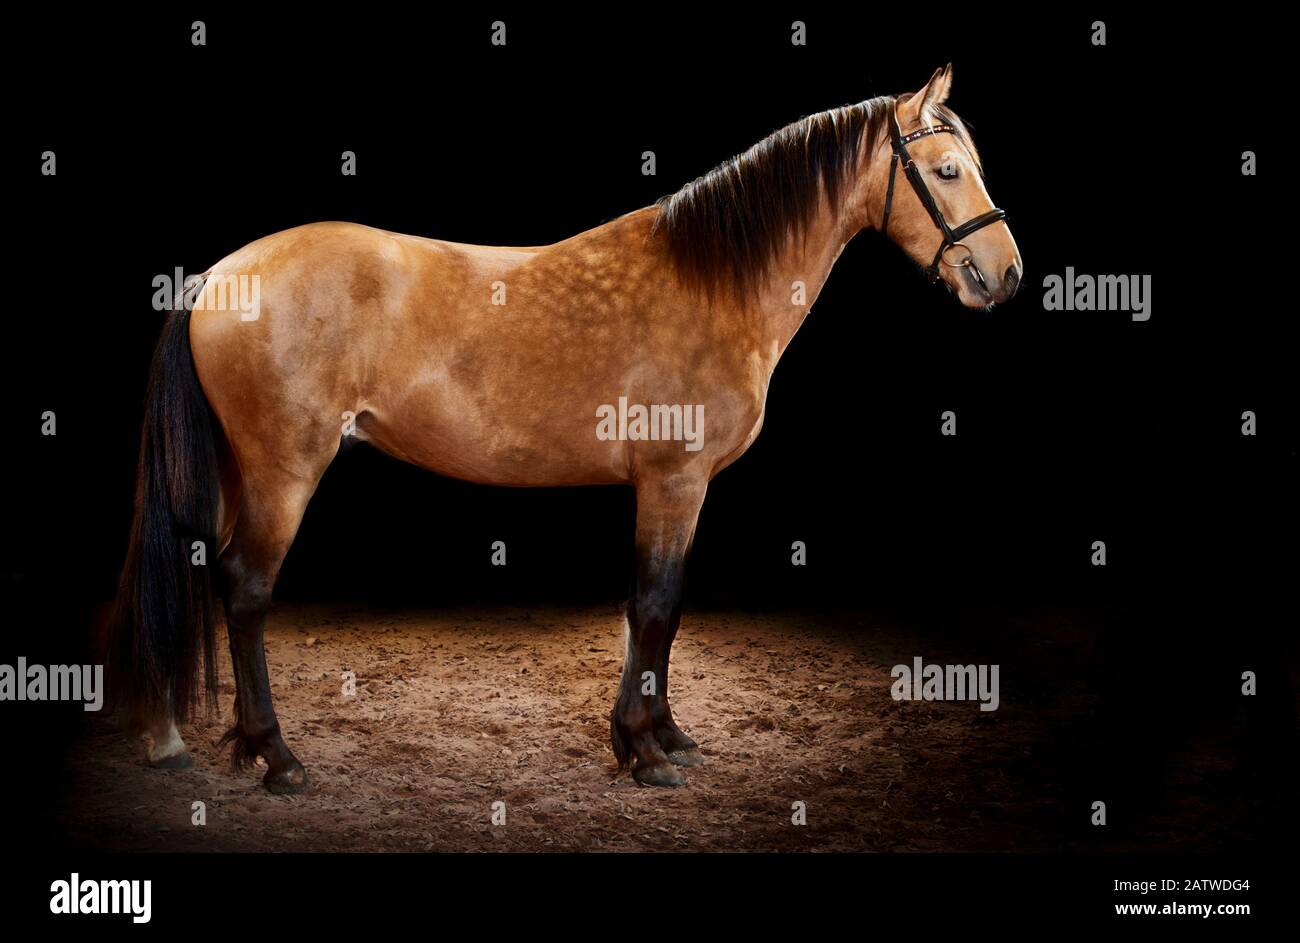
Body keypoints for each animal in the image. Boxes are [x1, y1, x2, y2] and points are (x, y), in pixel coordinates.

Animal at [111, 62, 1019, 790]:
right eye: (945, 169)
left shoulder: (679, 489)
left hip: (239, 470)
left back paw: (197, 741)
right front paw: (642, 752)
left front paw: (667, 736)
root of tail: (218, 275)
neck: (714, 281)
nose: (1004, 274)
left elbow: (664, 612)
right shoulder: (672, 480)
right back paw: (277, 756)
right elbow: (652, 604)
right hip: (284, 470)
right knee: (245, 588)